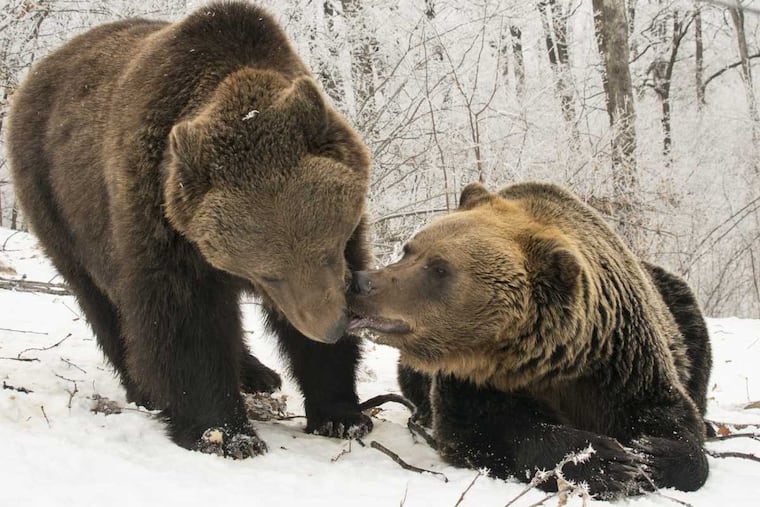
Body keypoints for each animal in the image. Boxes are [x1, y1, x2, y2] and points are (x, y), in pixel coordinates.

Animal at [8, 2, 373, 457]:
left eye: (328, 250)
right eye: (270, 273)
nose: (330, 327)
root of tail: (39, 70)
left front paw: (342, 414)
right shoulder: (162, 224)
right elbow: (185, 323)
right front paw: (224, 433)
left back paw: (257, 373)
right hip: (58, 203)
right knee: (103, 304)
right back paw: (145, 389)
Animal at [347, 181, 710, 498]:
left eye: (439, 268)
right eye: (410, 250)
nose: (361, 282)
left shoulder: (619, 361)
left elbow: (672, 416)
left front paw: (650, 455)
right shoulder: (474, 377)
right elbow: (484, 427)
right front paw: (606, 459)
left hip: (680, 306)